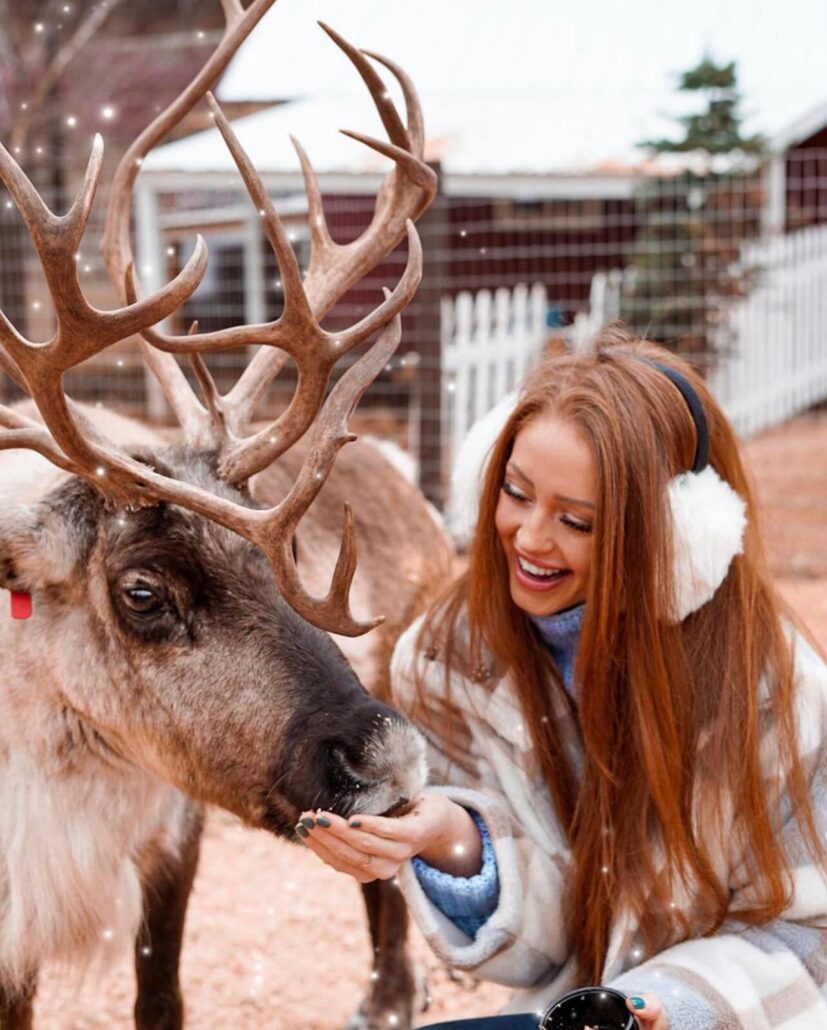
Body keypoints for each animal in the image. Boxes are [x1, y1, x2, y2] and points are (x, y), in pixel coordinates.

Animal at [0, 2, 453, 1027]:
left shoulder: (173, 827)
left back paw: (388, 995)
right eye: (140, 592)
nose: (389, 757)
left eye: (265, 549)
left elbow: (160, 996)